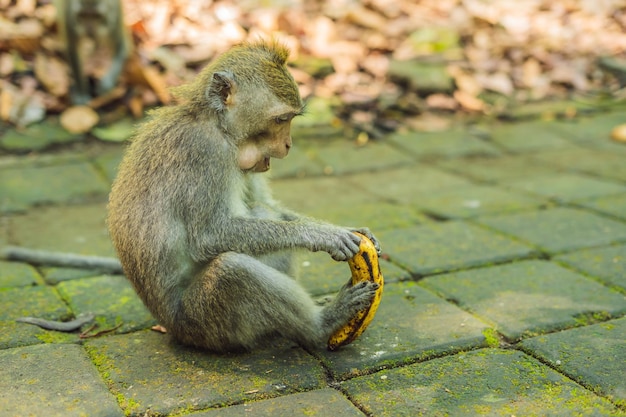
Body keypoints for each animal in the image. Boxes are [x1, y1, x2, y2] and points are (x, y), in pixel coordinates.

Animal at [106, 41, 380, 352]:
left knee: (261, 212)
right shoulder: (206, 153)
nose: (288, 144)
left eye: (290, 119)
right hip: (203, 323)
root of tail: (169, 326)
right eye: (281, 119)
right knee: (232, 271)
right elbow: (209, 235)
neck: (217, 125)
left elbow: (264, 206)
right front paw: (321, 235)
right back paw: (321, 326)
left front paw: (340, 228)